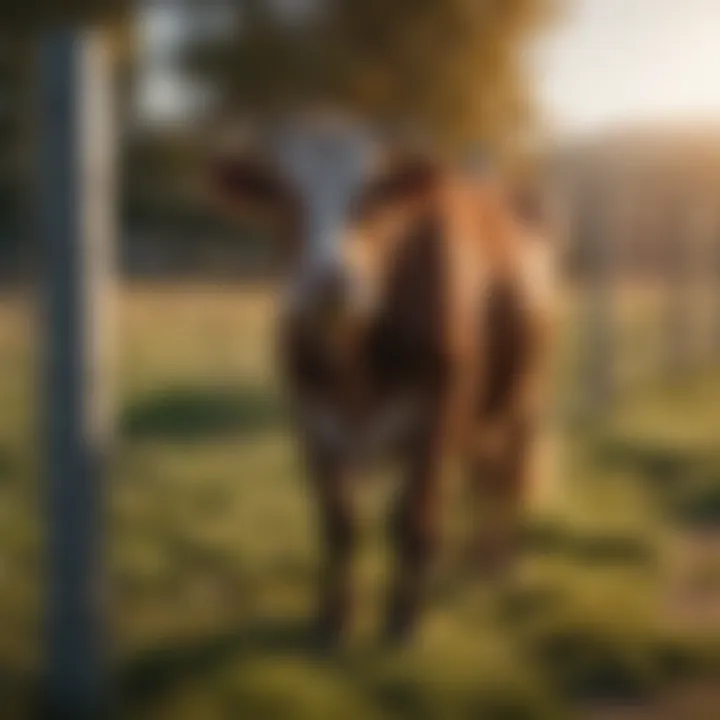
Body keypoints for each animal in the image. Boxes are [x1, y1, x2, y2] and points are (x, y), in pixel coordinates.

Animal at [211, 118, 556, 648]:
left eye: (370, 198)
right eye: (284, 197)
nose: (332, 282)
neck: (356, 370)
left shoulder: (437, 420)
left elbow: (415, 521)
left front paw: (404, 621)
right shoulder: (312, 422)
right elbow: (339, 526)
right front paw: (334, 620)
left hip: (525, 399)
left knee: (507, 479)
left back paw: (500, 565)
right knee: (482, 479)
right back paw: (473, 560)